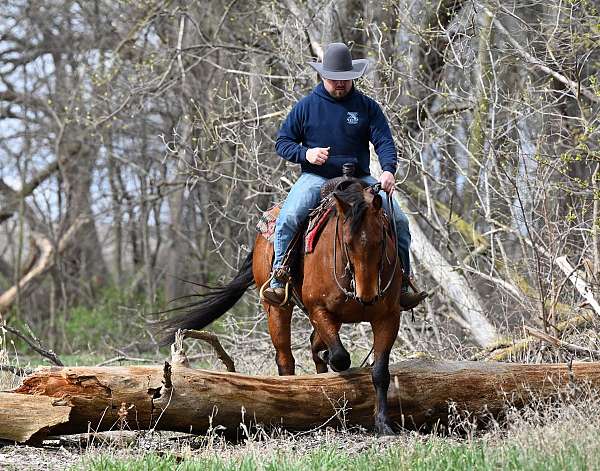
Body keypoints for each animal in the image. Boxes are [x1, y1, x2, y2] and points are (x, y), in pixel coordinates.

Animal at [158, 182, 404, 436]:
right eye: (346, 243)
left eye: (382, 239)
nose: (368, 296)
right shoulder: (318, 309)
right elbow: (340, 358)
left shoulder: (388, 317)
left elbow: (379, 372)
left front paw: (383, 423)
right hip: (277, 310)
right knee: (286, 360)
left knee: (314, 346)